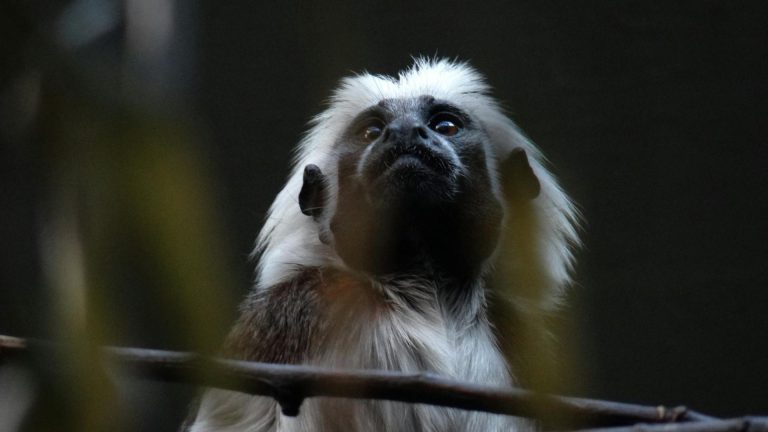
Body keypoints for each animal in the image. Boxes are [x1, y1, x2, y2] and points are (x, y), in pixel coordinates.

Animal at [185, 59, 579, 432]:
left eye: (445, 126)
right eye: (372, 131)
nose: (404, 131)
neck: (425, 296)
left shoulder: (524, 340)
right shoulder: (286, 317)